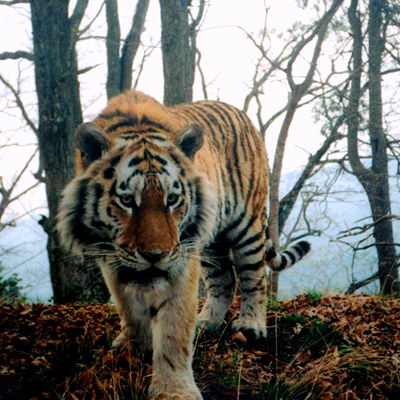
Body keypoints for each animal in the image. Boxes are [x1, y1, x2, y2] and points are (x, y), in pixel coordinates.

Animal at [57, 90, 310, 400]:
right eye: (127, 200)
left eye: (172, 199)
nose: (155, 255)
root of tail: (241, 114)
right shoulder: (111, 258)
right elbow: (128, 306)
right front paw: (133, 347)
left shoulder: (181, 261)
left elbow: (173, 329)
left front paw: (174, 391)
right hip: (211, 241)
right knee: (224, 280)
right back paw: (208, 322)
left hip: (246, 225)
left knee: (254, 278)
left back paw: (251, 325)